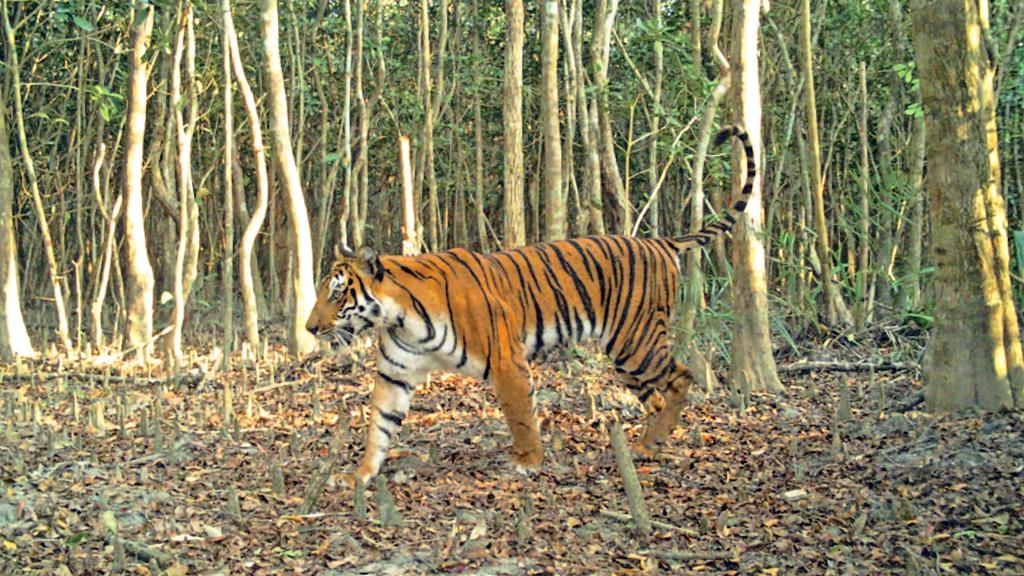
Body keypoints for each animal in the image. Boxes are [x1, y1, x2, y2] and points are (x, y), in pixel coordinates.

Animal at [307, 126, 757, 483]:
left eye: (336, 292)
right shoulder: (396, 372)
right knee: (658, 395)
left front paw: (527, 461)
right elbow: (378, 425)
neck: (400, 318)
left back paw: (654, 441)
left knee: (682, 376)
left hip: (636, 342)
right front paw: (359, 475)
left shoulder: (507, 361)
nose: (310, 328)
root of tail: (659, 241)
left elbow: (520, 413)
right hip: (627, 354)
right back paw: (649, 443)